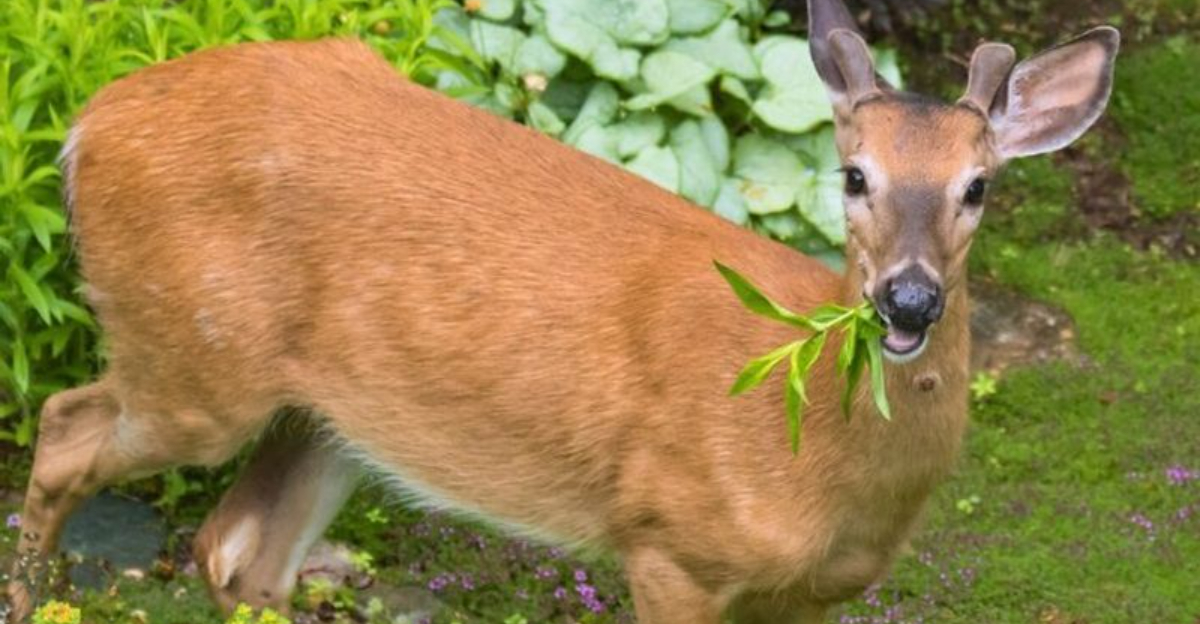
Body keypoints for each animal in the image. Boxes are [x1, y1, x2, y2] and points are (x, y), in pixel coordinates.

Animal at [7, 0, 1117, 621]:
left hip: (330, 416)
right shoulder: (671, 542)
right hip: (192, 359)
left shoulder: (812, 596)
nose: (909, 296)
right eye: (854, 175)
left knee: (239, 555)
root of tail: (87, 122)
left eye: (978, 186)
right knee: (64, 431)